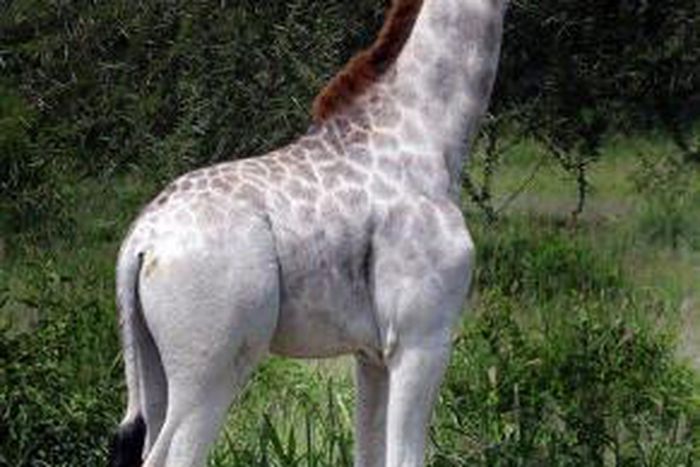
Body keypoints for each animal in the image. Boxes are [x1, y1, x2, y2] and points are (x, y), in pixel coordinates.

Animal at [110, 0, 508, 466]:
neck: (429, 139)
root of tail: (142, 242)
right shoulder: (420, 339)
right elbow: (406, 456)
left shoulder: (372, 355)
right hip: (211, 372)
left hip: (154, 369)